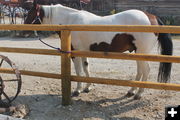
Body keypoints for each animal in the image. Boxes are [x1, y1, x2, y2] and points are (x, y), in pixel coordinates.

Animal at [24, 0, 173, 99]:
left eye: (30, 13)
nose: (24, 29)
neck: (70, 21)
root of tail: (152, 17)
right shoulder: (83, 52)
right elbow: (86, 68)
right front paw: (87, 88)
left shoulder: (74, 53)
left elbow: (78, 71)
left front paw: (77, 90)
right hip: (137, 53)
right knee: (140, 71)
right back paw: (131, 91)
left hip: (142, 52)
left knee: (146, 70)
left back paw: (139, 94)